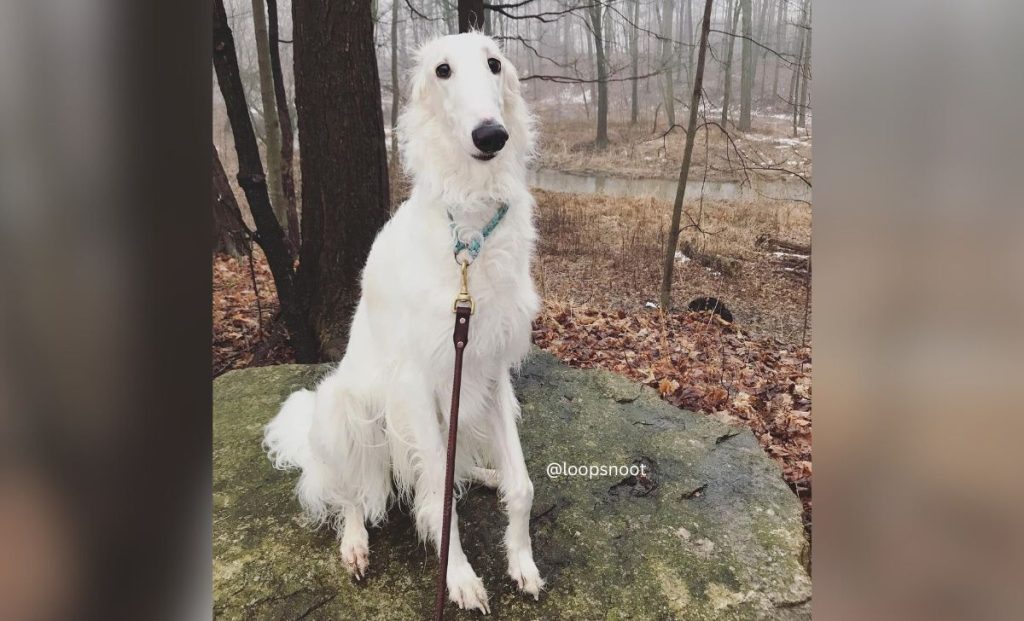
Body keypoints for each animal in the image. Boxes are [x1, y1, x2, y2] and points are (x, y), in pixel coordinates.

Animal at [266, 32, 544, 614]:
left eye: (494, 63)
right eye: (442, 70)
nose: (492, 135)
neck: (469, 236)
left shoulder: (489, 373)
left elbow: (523, 486)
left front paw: (522, 563)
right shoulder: (417, 382)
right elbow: (439, 501)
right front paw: (459, 578)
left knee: (455, 471)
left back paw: (484, 475)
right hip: (345, 407)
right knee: (351, 492)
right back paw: (354, 544)